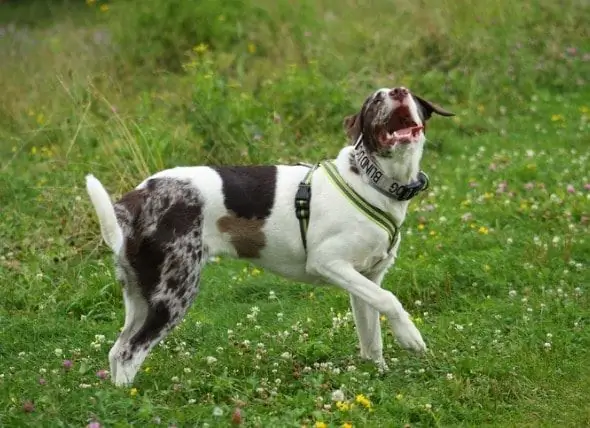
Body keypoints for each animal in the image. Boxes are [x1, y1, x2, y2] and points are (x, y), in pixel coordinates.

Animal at [85, 85, 456, 386]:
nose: (398, 91)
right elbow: (390, 301)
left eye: (407, 93)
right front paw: (410, 337)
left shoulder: (367, 276)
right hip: (173, 294)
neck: (370, 181)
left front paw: (376, 374)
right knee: (131, 352)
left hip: (141, 298)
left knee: (117, 351)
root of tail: (138, 196)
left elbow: (371, 336)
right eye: (375, 100)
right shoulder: (329, 263)